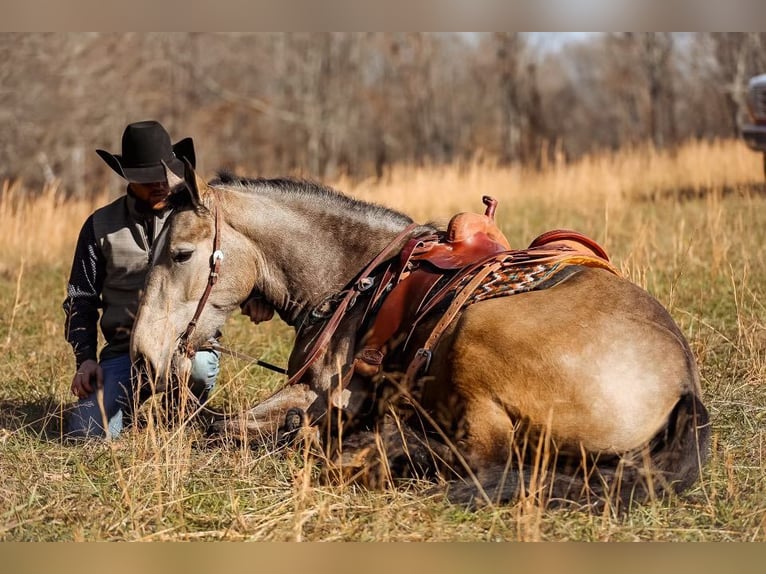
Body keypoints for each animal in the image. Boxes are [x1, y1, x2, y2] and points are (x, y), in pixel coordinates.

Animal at [132, 163, 712, 512]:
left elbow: (223, 428)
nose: (143, 355)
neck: (355, 277)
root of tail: (682, 385)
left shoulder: (323, 393)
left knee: (483, 461)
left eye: (181, 253)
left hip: (478, 353)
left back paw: (380, 448)